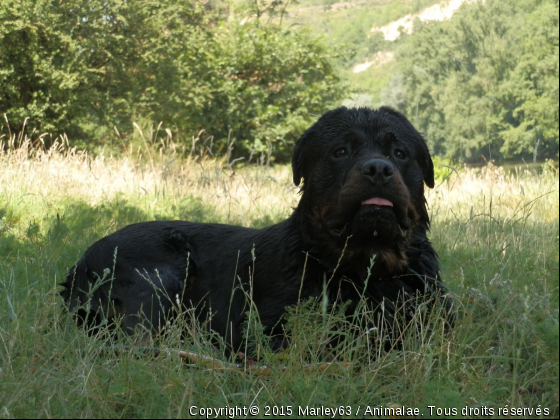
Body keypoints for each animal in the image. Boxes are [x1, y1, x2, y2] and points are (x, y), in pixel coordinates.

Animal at [61, 106, 450, 350]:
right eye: (340, 151)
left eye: (400, 153)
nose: (378, 169)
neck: (365, 266)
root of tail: (79, 265)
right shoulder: (270, 326)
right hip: (160, 272)